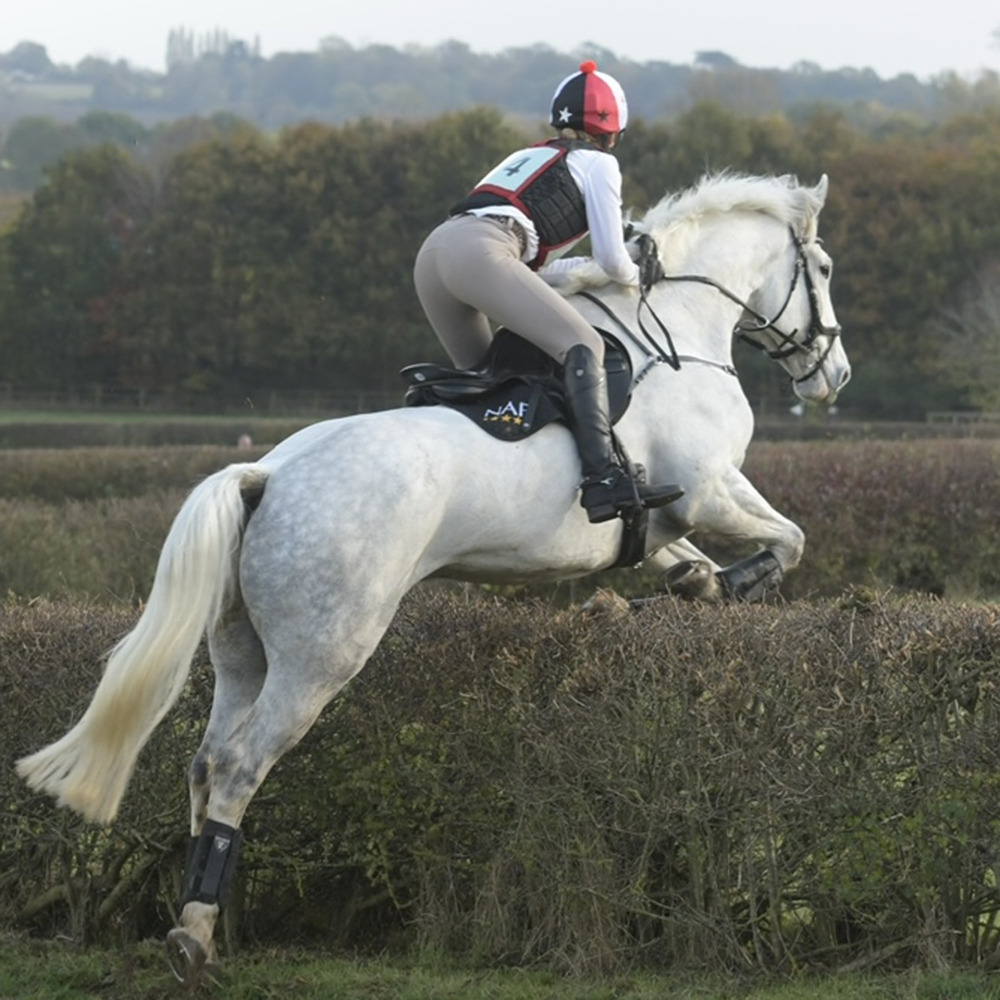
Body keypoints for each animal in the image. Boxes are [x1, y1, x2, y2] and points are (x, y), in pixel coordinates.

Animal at [15, 172, 848, 984]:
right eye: (825, 268)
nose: (832, 376)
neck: (675, 332)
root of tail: (265, 475)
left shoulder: (662, 519)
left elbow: (687, 558)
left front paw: (674, 594)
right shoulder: (710, 489)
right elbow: (790, 540)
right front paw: (727, 588)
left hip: (241, 651)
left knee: (207, 760)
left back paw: (202, 924)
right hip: (323, 653)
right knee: (244, 765)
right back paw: (192, 937)